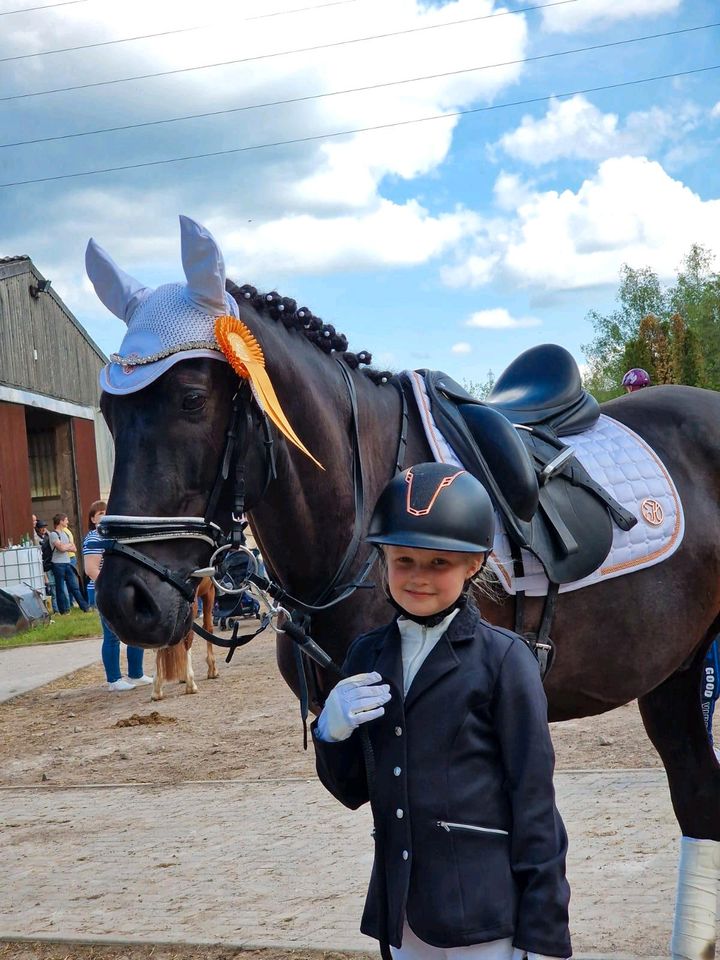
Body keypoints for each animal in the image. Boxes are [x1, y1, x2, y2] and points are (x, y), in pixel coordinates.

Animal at [151, 572, 217, 700]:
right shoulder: (209, 591)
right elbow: (208, 627)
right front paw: (212, 668)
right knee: (188, 638)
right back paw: (191, 684)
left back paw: (157, 688)